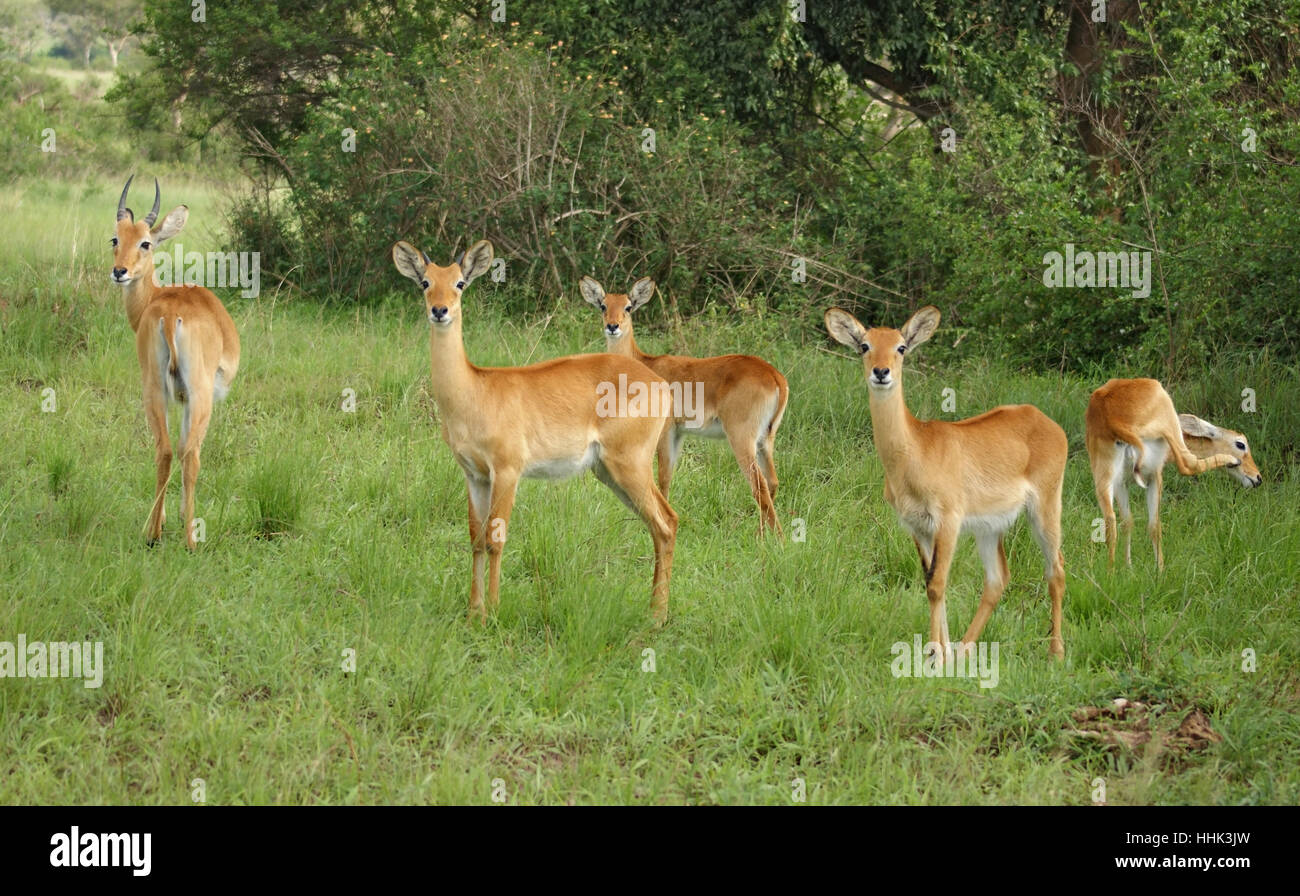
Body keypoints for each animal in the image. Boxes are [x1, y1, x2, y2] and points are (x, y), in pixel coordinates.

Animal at [111, 175, 241, 548]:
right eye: (115, 238)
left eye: (144, 242)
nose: (119, 271)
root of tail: (170, 315)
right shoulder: (190, 398)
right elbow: (188, 449)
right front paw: (183, 516)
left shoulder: (174, 397)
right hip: (199, 395)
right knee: (189, 454)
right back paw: (191, 539)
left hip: (153, 388)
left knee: (165, 450)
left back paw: (152, 533)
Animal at [392, 240, 681, 626]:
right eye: (425, 282)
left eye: (459, 283)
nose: (440, 311)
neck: (473, 392)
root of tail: (660, 383)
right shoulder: (474, 475)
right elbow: (475, 538)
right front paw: (473, 613)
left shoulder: (507, 471)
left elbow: (496, 537)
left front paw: (493, 612)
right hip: (608, 471)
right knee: (662, 523)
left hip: (630, 464)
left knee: (666, 523)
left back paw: (656, 617)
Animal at [582, 275, 785, 535]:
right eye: (603, 305)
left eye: (628, 307)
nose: (612, 326)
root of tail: (775, 376)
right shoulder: (679, 432)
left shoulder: (666, 430)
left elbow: (663, 477)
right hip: (765, 440)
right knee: (772, 482)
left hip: (742, 438)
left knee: (758, 485)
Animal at [826, 304, 1071, 660]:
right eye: (864, 345)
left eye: (901, 347)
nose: (881, 372)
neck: (915, 451)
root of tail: (1044, 420)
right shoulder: (917, 526)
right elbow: (930, 581)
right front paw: (938, 653)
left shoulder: (948, 520)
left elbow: (937, 583)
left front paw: (935, 657)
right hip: (990, 527)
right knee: (997, 579)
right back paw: (963, 651)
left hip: (1046, 507)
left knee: (1056, 570)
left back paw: (1056, 654)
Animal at [1086, 377, 1258, 566]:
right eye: (1241, 444)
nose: (1257, 477)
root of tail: (1112, 419)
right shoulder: (1155, 475)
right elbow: (1154, 525)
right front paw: (1158, 569)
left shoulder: (1121, 483)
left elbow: (1127, 522)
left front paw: (1127, 567)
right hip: (1165, 443)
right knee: (1188, 465)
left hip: (1104, 479)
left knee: (1110, 521)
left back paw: (1110, 571)